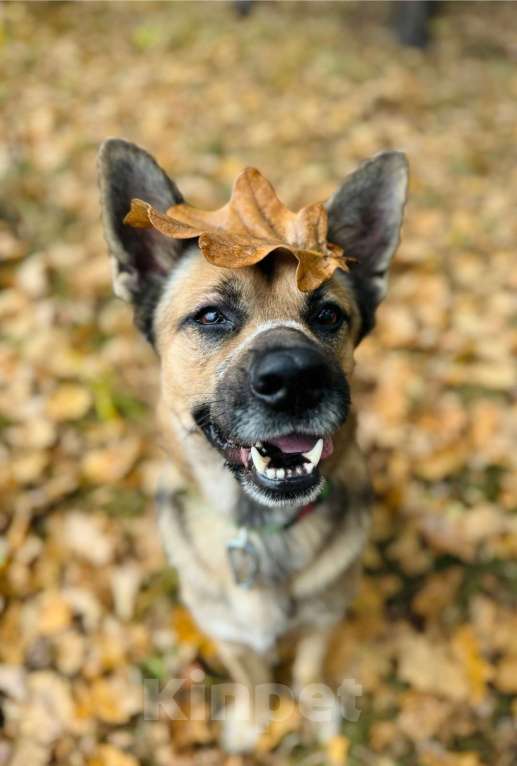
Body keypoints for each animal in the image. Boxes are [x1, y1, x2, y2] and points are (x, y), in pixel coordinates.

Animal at [97, 140, 408, 756]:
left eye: (328, 314)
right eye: (212, 316)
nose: (294, 378)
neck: (259, 528)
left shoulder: (323, 621)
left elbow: (308, 669)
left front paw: (316, 710)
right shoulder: (230, 636)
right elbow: (252, 677)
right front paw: (253, 719)